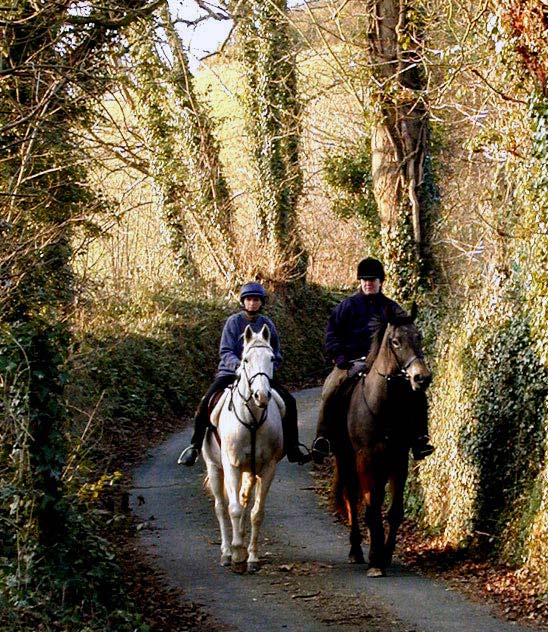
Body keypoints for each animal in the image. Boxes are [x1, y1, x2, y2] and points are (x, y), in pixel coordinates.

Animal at [202, 324, 286, 576]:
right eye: (246, 360)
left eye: (271, 358)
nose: (262, 395)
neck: (252, 420)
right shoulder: (231, 465)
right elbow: (234, 509)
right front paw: (237, 555)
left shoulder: (268, 468)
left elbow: (256, 513)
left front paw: (252, 558)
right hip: (214, 467)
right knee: (221, 507)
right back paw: (226, 553)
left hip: (250, 472)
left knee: (244, 498)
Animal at [332, 310, 430, 576]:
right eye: (395, 342)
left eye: (419, 336)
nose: (422, 377)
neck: (385, 406)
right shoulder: (365, 460)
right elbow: (371, 508)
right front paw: (375, 561)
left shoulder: (398, 460)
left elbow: (394, 511)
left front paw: (385, 555)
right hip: (346, 459)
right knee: (351, 499)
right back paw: (356, 550)